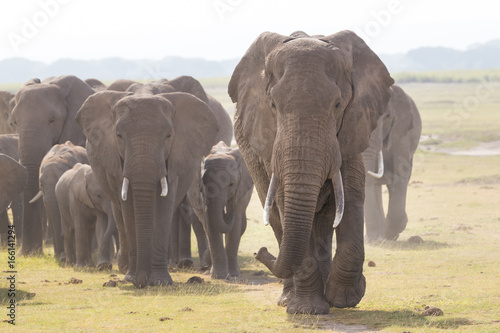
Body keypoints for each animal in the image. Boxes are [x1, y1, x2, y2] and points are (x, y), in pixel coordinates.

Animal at [75, 80, 219, 286]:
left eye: (169, 136)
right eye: (118, 135)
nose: (141, 282)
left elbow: (164, 205)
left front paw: (160, 281)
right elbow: (128, 207)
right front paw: (132, 278)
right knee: (119, 215)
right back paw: (125, 268)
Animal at [187, 140, 254, 278]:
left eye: (231, 184)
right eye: (203, 184)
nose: (227, 213)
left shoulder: (240, 188)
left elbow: (236, 223)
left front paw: (233, 274)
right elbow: (210, 222)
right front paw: (220, 276)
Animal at [229, 29, 396, 312]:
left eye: (338, 105)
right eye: (273, 106)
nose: (259, 252)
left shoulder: (350, 131)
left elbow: (351, 196)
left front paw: (344, 299)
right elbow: (285, 204)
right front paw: (307, 309)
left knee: (324, 222)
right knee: (278, 220)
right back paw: (289, 298)